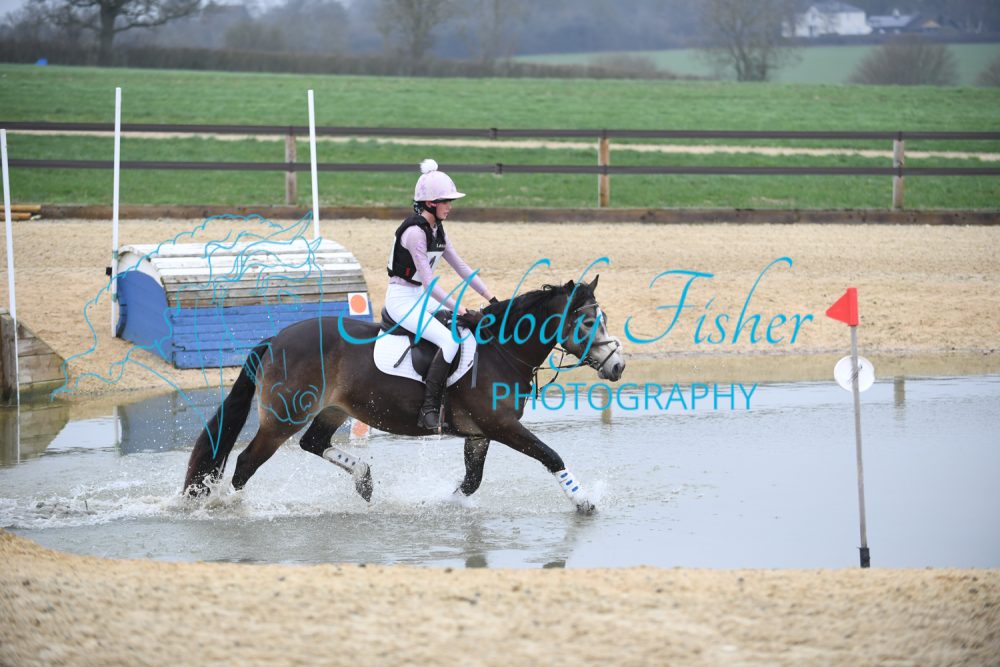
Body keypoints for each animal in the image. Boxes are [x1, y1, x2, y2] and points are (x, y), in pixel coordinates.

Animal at [183, 276, 625, 513]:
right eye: (588, 322)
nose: (618, 366)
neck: (500, 350)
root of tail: (276, 340)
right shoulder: (501, 427)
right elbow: (552, 457)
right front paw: (584, 502)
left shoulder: (480, 434)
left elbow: (471, 482)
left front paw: (443, 505)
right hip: (282, 418)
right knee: (245, 464)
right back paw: (232, 508)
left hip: (333, 409)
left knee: (314, 442)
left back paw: (363, 479)